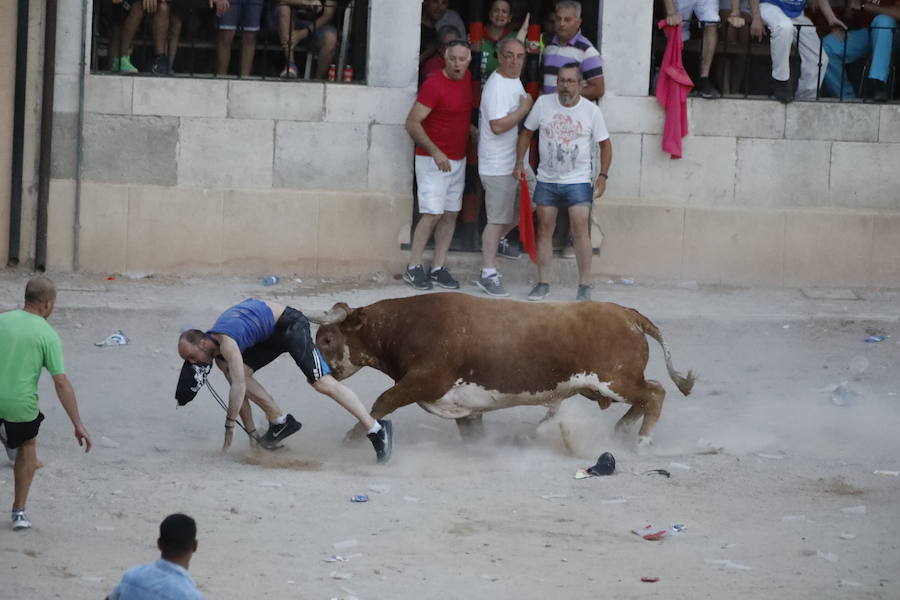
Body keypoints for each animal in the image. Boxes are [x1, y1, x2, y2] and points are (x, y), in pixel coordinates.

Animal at [312, 292, 696, 448]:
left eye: (327, 338)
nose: (320, 371)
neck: (406, 325)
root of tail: (628, 314)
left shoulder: (425, 380)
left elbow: (383, 401)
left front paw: (351, 439)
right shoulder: (465, 404)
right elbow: (472, 433)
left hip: (615, 380)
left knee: (655, 392)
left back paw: (642, 440)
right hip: (606, 386)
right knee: (648, 394)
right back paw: (620, 431)